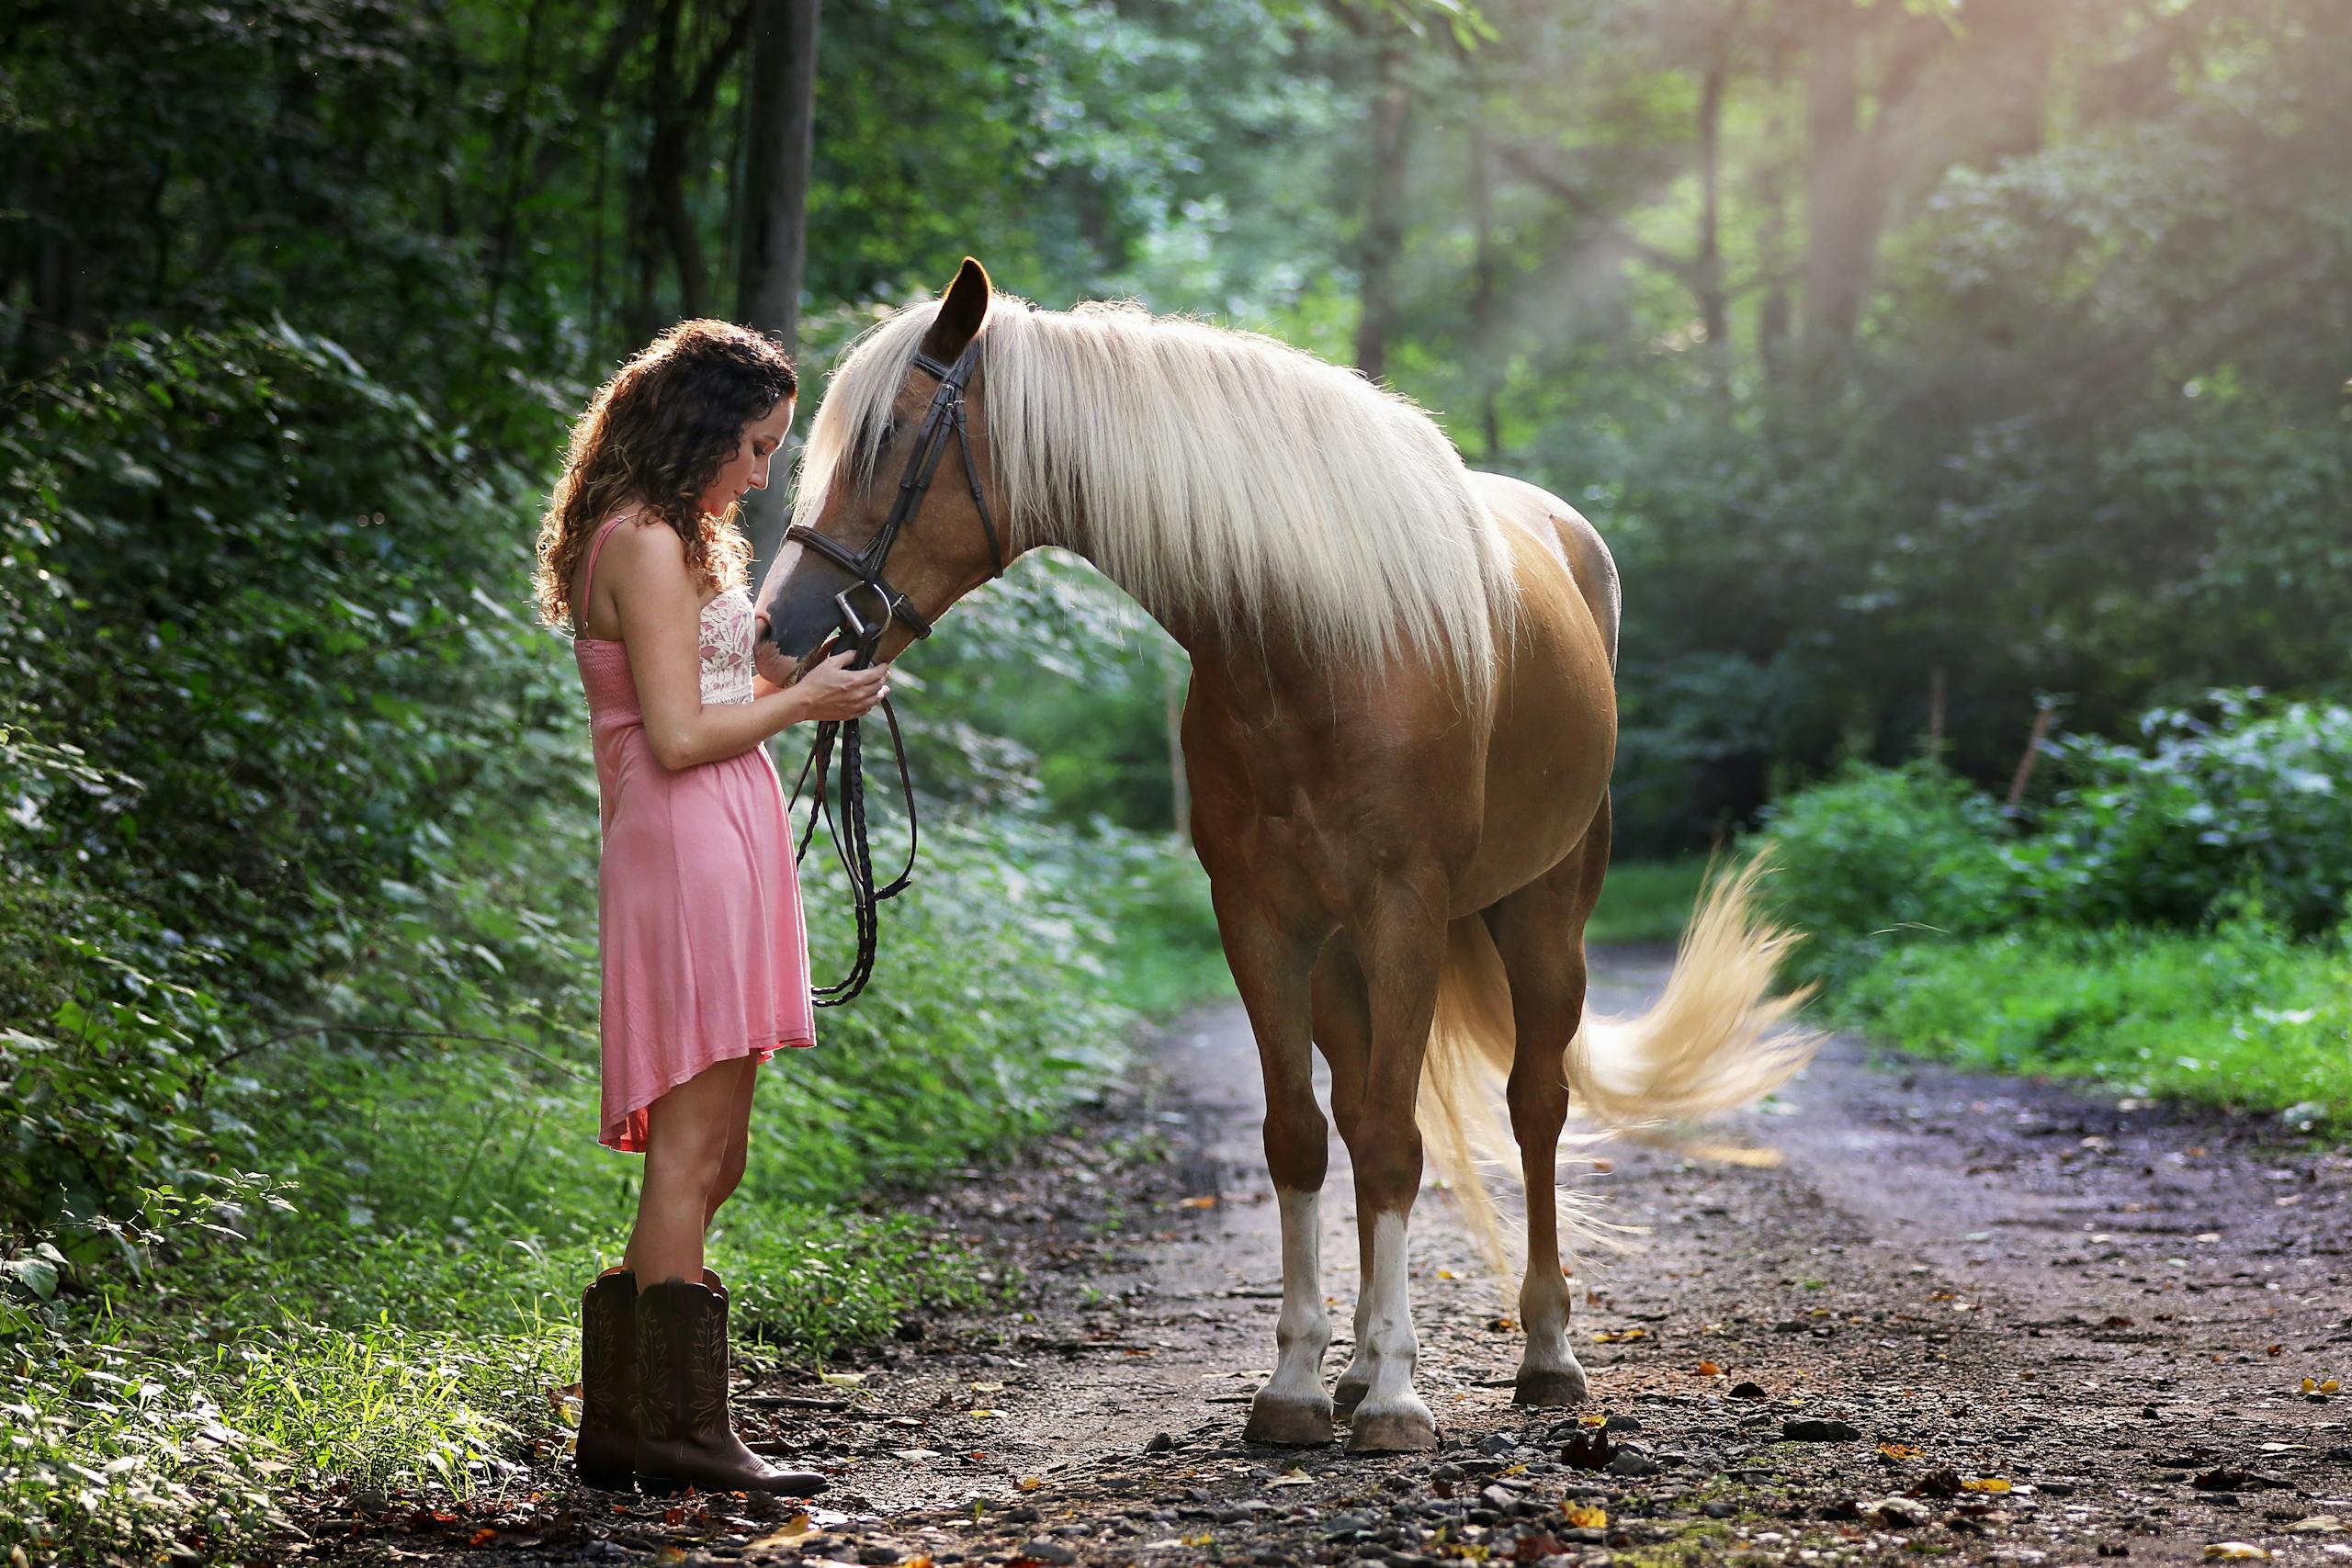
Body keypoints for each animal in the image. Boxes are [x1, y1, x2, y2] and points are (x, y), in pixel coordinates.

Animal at [756, 258, 1815, 1454]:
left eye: (889, 439)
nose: (778, 632)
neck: (1313, 643)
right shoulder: (1261, 921)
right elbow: (1302, 1139)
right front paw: (1303, 1385)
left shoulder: (1405, 911)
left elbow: (1399, 1143)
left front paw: (1399, 1399)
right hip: (1345, 958)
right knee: (1356, 1112)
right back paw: (1356, 1367)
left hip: (1543, 918)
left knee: (1533, 1106)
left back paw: (1545, 1355)